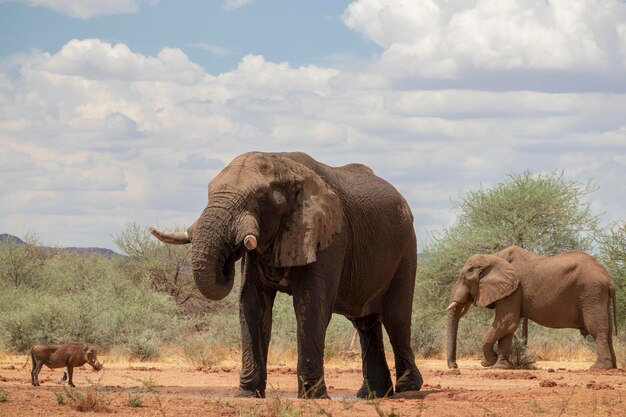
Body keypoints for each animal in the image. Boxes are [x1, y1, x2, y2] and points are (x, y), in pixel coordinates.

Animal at [149, 152, 422, 396]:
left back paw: (408, 389)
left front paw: (313, 397)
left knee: (396, 319)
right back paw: (371, 394)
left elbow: (311, 306)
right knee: (365, 323)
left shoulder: (329, 234)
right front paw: (247, 394)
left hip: (407, 248)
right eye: (208, 193)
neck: (284, 165)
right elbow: (252, 305)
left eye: (260, 199)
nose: (230, 254)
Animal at [444, 245, 616, 368]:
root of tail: (608, 277)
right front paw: (502, 366)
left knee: (597, 329)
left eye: (463, 278)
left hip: (591, 293)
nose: (455, 366)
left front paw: (489, 363)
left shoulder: (514, 290)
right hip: (599, 296)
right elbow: (508, 328)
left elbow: (507, 322)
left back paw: (599, 368)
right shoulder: (511, 290)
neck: (493, 257)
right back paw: (612, 366)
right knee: (608, 331)